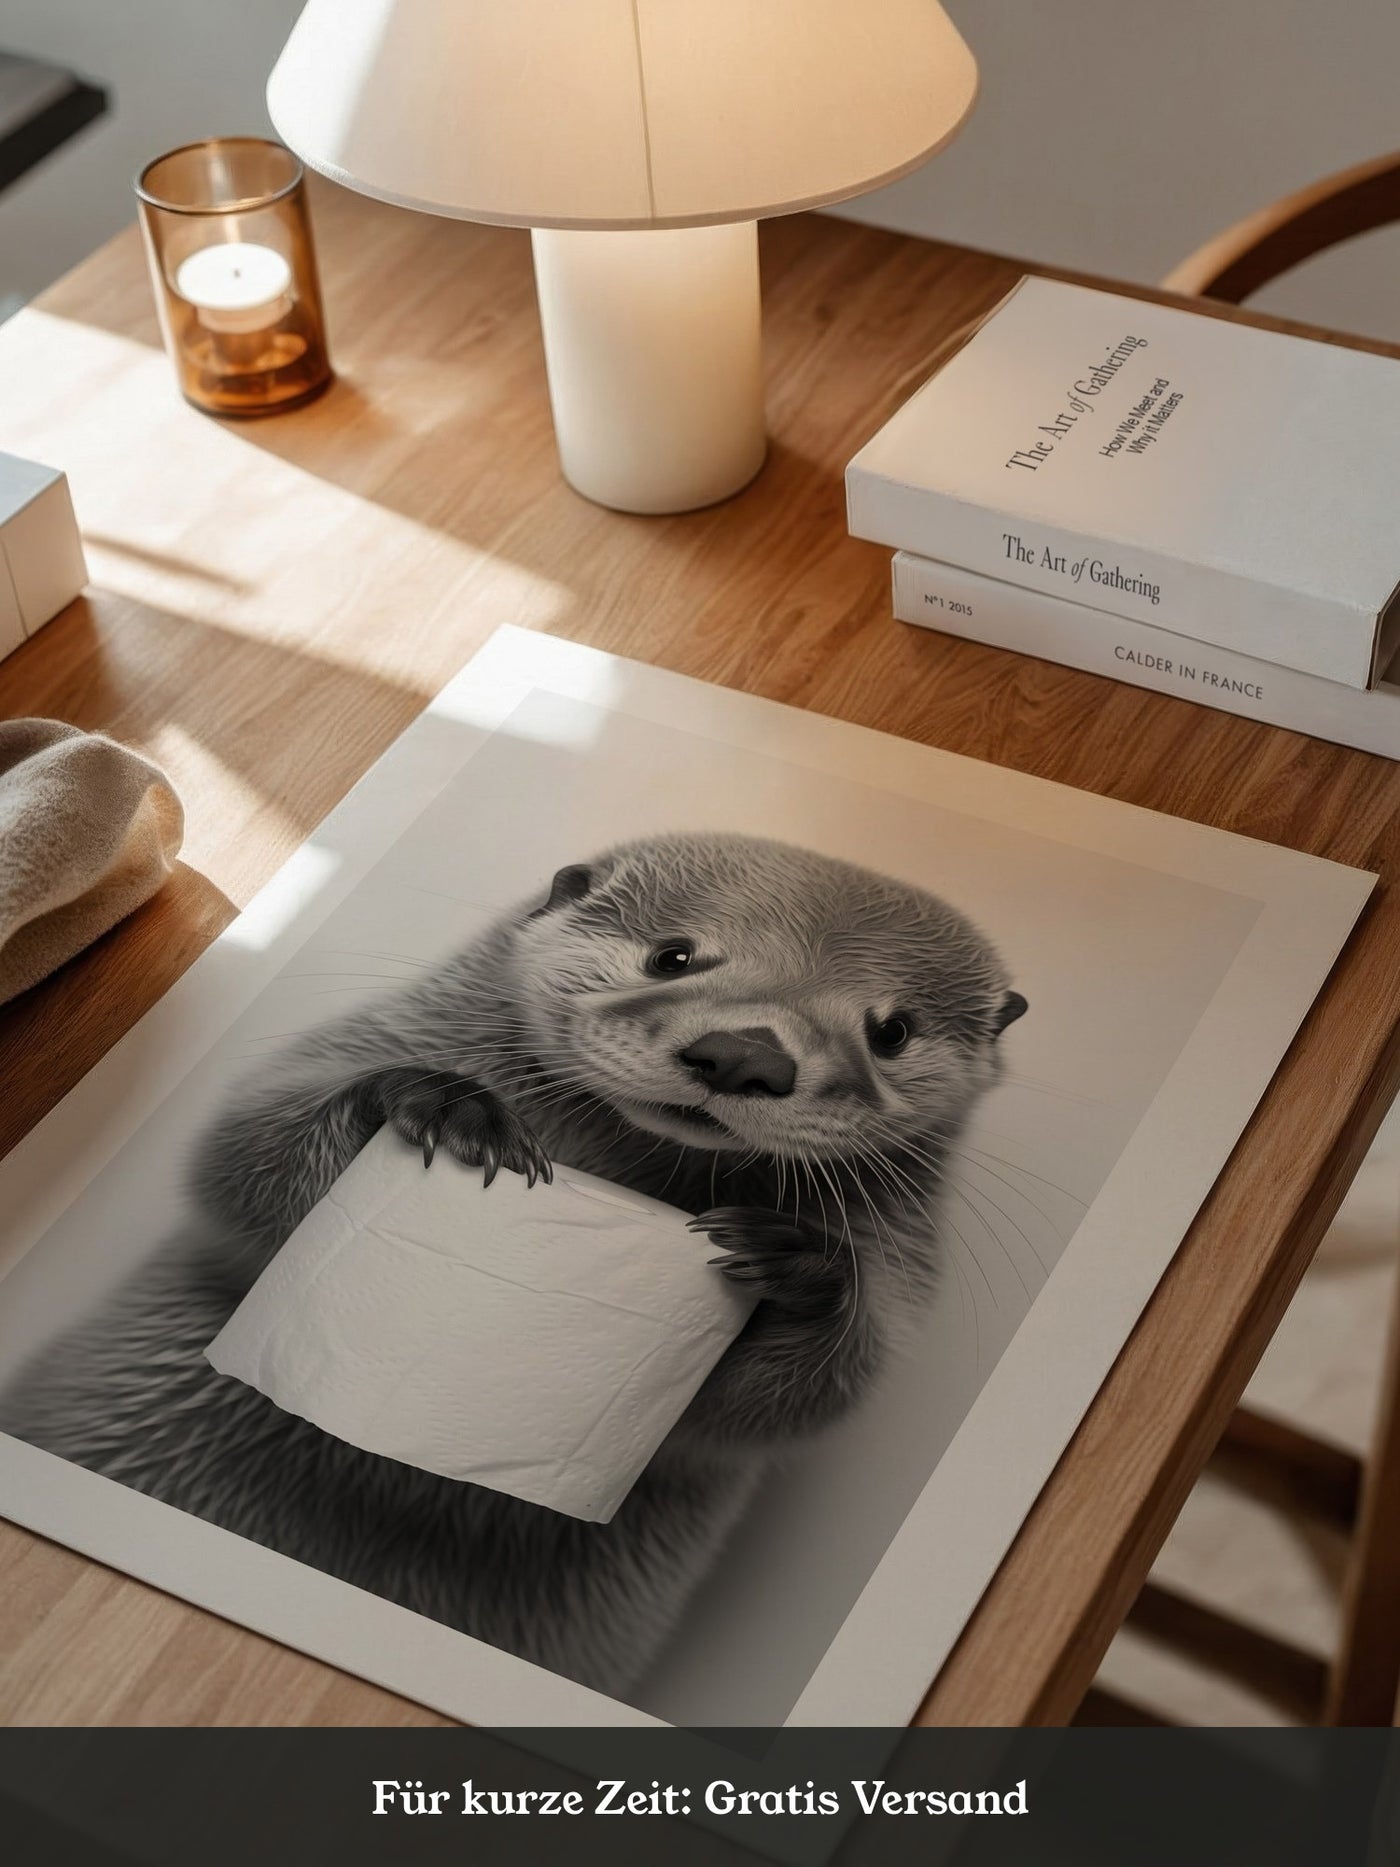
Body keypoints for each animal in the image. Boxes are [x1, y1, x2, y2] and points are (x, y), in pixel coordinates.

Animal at [2, 831, 1026, 1699]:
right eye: (674, 955)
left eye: (891, 1029)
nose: (745, 1052)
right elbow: (237, 1153)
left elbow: (795, 1402)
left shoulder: (898, 1259)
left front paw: (803, 1263)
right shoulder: (375, 1034)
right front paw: (433, 1103)